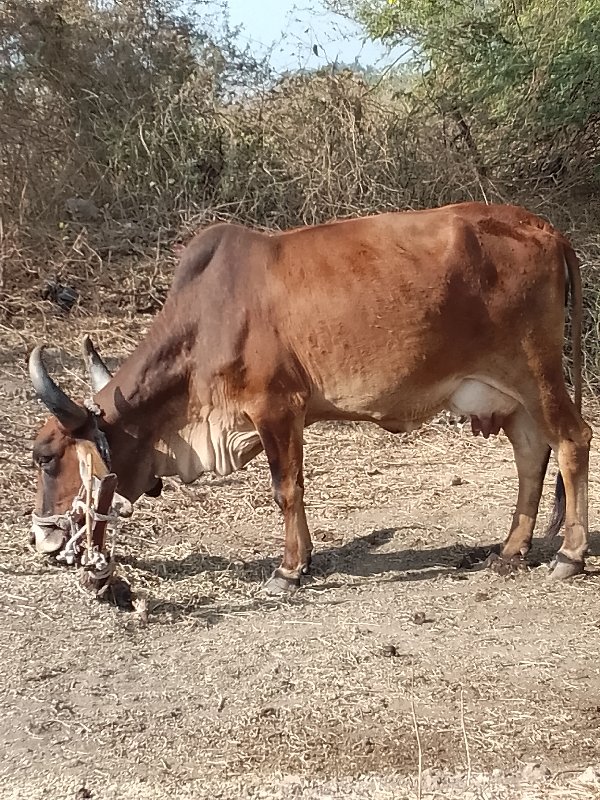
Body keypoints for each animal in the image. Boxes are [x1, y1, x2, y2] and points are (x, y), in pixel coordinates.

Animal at [27, 203, 592, 592]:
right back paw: (512, 549)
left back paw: (569, 556)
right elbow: (295, 489)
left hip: (536, 374)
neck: (206, 321)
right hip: (512, 395)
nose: (41, 538)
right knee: (530, 457)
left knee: (572, 441)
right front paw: (306, 558)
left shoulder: (276, 408)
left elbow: (286, 489)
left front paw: (288, 570)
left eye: (47, 457)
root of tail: (547, 230)